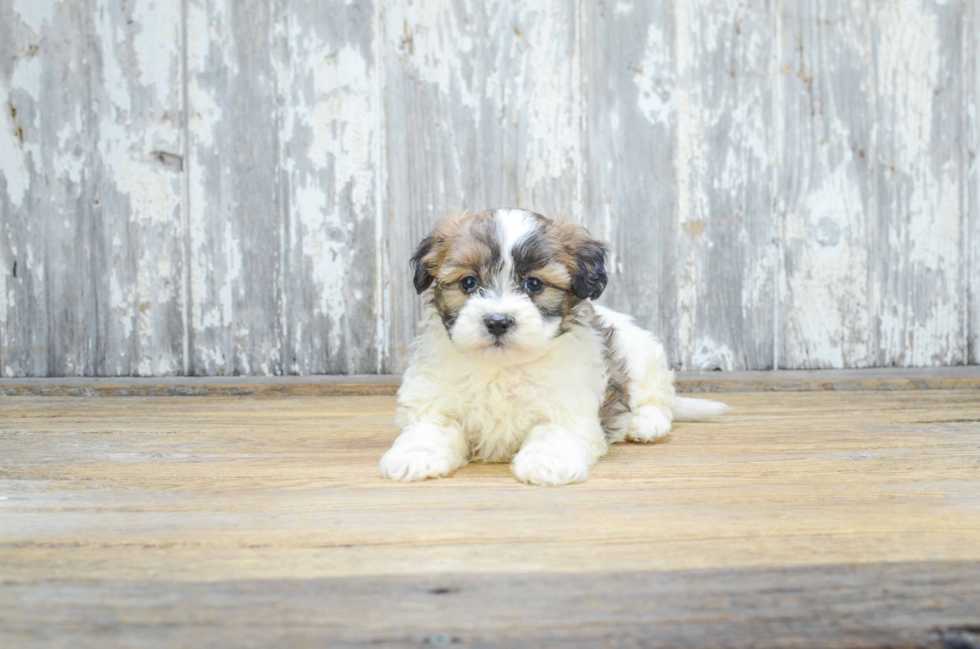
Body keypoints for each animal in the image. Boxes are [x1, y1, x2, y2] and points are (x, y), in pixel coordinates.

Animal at [380, 209, 728, 486]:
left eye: (534, 284)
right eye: (468, 283)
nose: (497, 321)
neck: (501, 366)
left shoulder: (569, 406)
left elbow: (554, 432)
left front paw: (547, 462)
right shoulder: (432, 400)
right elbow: (430, 428)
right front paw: (414, 456)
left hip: (643, 358)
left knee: (656, 399)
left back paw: (645, 422)